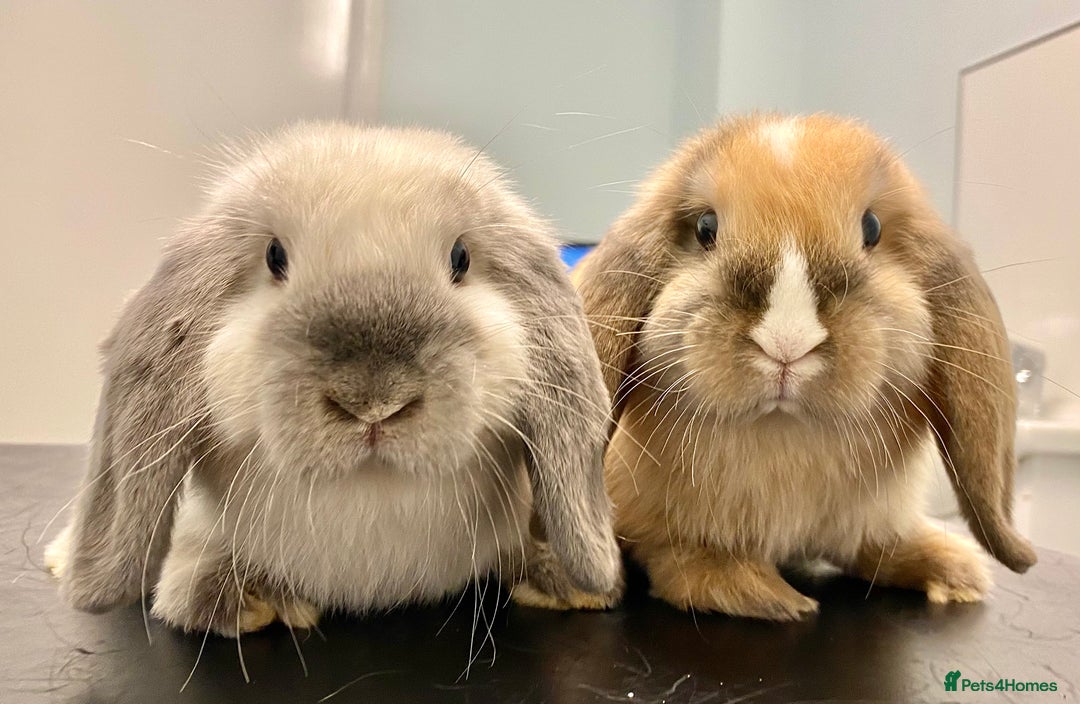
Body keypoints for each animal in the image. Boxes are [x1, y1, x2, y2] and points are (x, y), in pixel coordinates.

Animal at [572, 113, 1037, 620]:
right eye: (705, 227)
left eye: (872, 227)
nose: (788, 340)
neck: (786, 439)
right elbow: (684, 554)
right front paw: (756, 591)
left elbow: (874, 546)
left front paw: (952, 570)